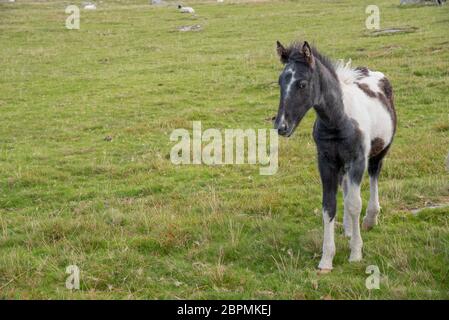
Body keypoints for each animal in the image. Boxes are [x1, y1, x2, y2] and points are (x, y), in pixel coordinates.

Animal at [272, 39, 396, 270]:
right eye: (280, 82)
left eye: (302, 84)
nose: (281, 126)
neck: (337, 120)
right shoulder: (326, 162)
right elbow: (329, 205)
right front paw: (326, 259)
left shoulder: (357, 161)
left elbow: (355, 203)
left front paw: (356, 252)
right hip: (342, 165)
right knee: (346, 188)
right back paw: (348, 228)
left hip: (379, 152)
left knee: (374, 177)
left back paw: (369, 219)